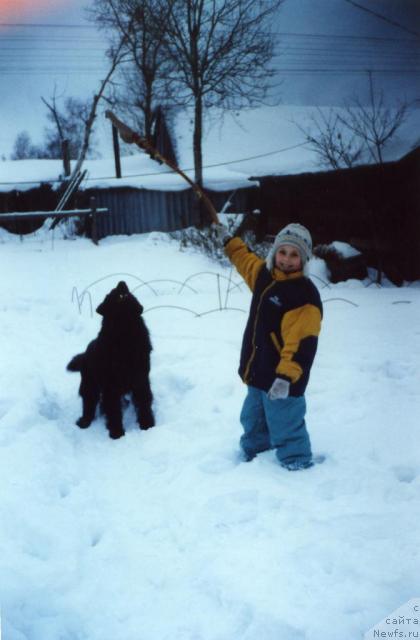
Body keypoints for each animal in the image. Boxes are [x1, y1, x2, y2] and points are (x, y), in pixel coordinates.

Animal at [67, 282, 154, 440]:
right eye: (118, 295)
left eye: (122, 292)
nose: (121, 282)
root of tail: (84, 355)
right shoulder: (111, 387)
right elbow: (113, 411)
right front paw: (117, 433)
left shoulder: (141, 380)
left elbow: (144, 403)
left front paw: (147, 425)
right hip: (90, 385)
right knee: (88, 406)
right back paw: (83, 422)